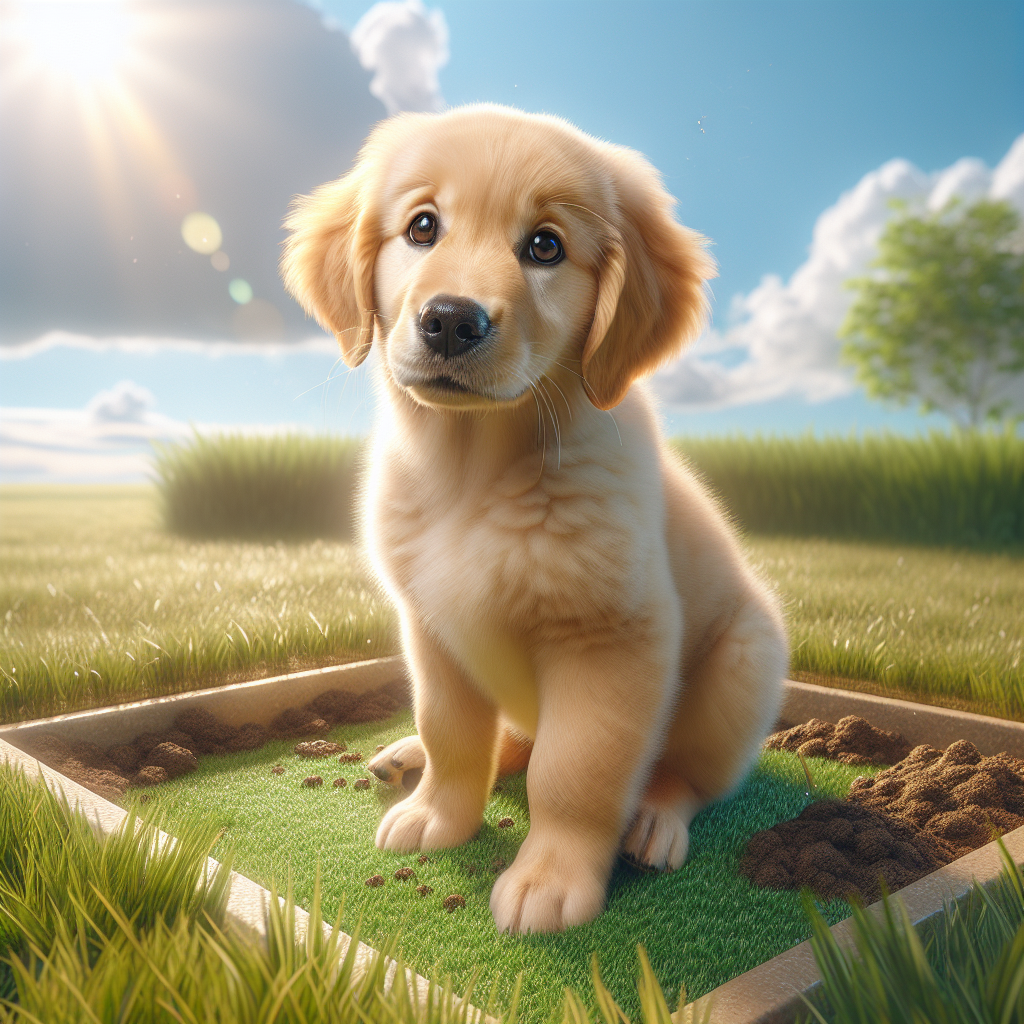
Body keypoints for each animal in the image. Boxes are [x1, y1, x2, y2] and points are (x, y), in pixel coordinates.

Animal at [284, 105, 786, 937]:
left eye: (545, 246)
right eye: (423, 227)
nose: (451, 320)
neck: (471, 473)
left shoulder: (610, 642)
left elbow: (574, 771)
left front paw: (550, 879)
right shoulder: (430, 627)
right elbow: (451, 731)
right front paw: (438, 814)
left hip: (745, 668)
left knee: (683, 774)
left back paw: (655, 821)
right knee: (506, 741)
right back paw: (406, 758)